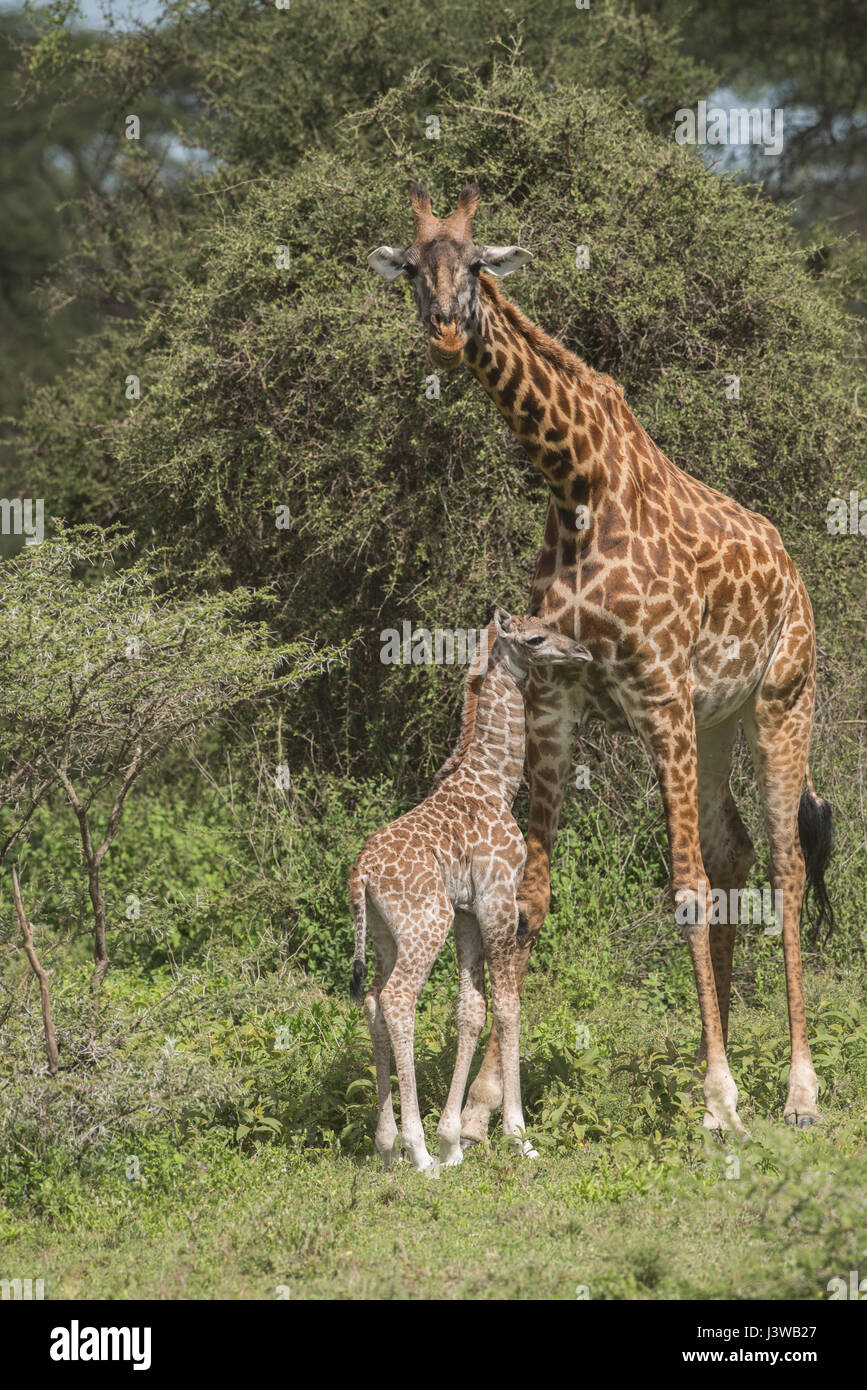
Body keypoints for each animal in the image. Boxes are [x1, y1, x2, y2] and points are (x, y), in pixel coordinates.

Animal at [347, 611, 589, 1173]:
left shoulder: (466, 913)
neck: (497, 781)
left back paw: (388, 1147)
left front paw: (454, 1140)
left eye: (549, 625)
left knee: (372, 1001)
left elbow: (470, 1009)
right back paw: (416, 1152)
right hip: (424, 923)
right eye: (535, 638)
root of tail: (361, 874)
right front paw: (518, 1136)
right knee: (398, 999)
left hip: (387, 933)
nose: (582, 652)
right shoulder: (498, 899)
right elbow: (508, 1004)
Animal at [369, 182, 839, 1139]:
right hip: (714, 720)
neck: (576, 482)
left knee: (780, 865)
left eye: (475, 263)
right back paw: (724, 1052)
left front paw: (718, 1100)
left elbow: (682, 889)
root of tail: (792, 569)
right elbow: (533, 898)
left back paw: (795, 1091)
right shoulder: (557, 696)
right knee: (734, 854)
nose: (443, 330)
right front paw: (482, 1107)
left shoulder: (656, 689)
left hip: (781, 698)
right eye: (411, 268)